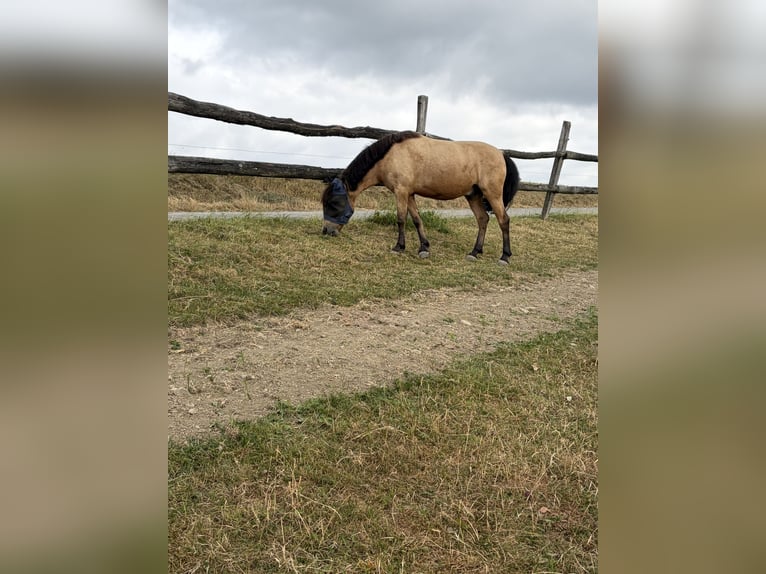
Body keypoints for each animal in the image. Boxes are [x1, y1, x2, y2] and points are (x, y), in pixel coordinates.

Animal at [321, 130, 520, 264]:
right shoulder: (409, 194)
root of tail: (501, 154)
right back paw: (474, 252)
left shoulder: (401, 192)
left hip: (492, 194)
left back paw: (504, 256)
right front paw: (424, 247)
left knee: (503, 220)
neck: (390, 155)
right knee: (482, 219)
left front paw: (399, 247)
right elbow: (416, 220)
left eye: (334, 203)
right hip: (473, 196)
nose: (326, 231)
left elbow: (401, 219)